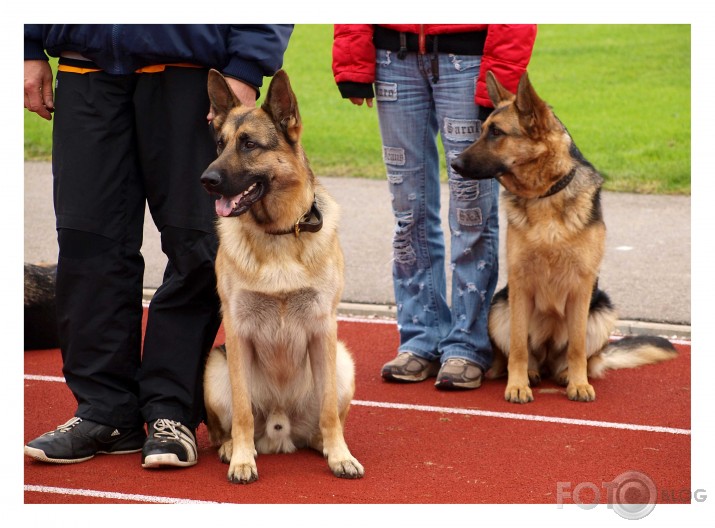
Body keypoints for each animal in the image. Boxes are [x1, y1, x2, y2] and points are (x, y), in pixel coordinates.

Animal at [200, 69, 364, 482]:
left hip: (342, 361)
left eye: (249, 144)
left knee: (325, 420)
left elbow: (329, 411)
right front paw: (243, 460)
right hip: (216, 367)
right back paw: (233, 448)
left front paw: (340, 456)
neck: (277, 235)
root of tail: (280, 431)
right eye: (220, 144)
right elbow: (242, 410)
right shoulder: (237, 332)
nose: (206, 179)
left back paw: (327, 446)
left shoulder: (323, 328)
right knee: (226, 426)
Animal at [454, 72, 676, 402]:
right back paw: (532, 373)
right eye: (482, 130)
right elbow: (518, 347)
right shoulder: (519, 285)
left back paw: (566, 375)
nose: (453, 164)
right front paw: (517, 385)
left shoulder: (582, 288)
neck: (545, 195)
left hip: (601, 311)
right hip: (499, 306)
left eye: (496, 132)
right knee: (523, 355)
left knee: (584, 357)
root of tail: (547, 360)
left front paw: (578, 384)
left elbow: (577, 347)